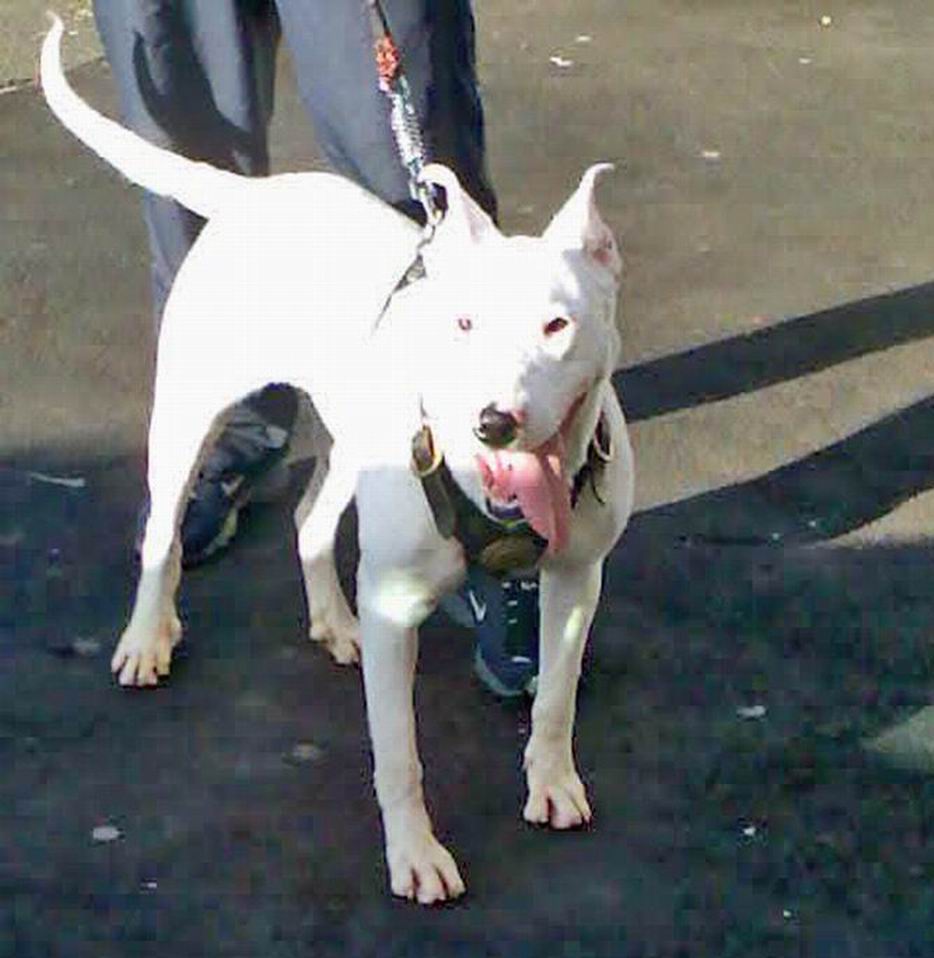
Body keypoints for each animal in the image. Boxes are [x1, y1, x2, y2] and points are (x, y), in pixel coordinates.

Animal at [41, 16, 634, 904]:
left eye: (557, 325)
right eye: (463, 323)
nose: (494, 422)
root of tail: (251, 194)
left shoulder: (574, 581)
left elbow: (555, 700)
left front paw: (552, 782)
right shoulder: (398, 609)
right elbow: (399, 757)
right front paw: (415, 855)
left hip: (353, 440)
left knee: (309, 517)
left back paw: (332, 618)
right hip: (186, 415)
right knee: (162, 537)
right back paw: (148, 635)